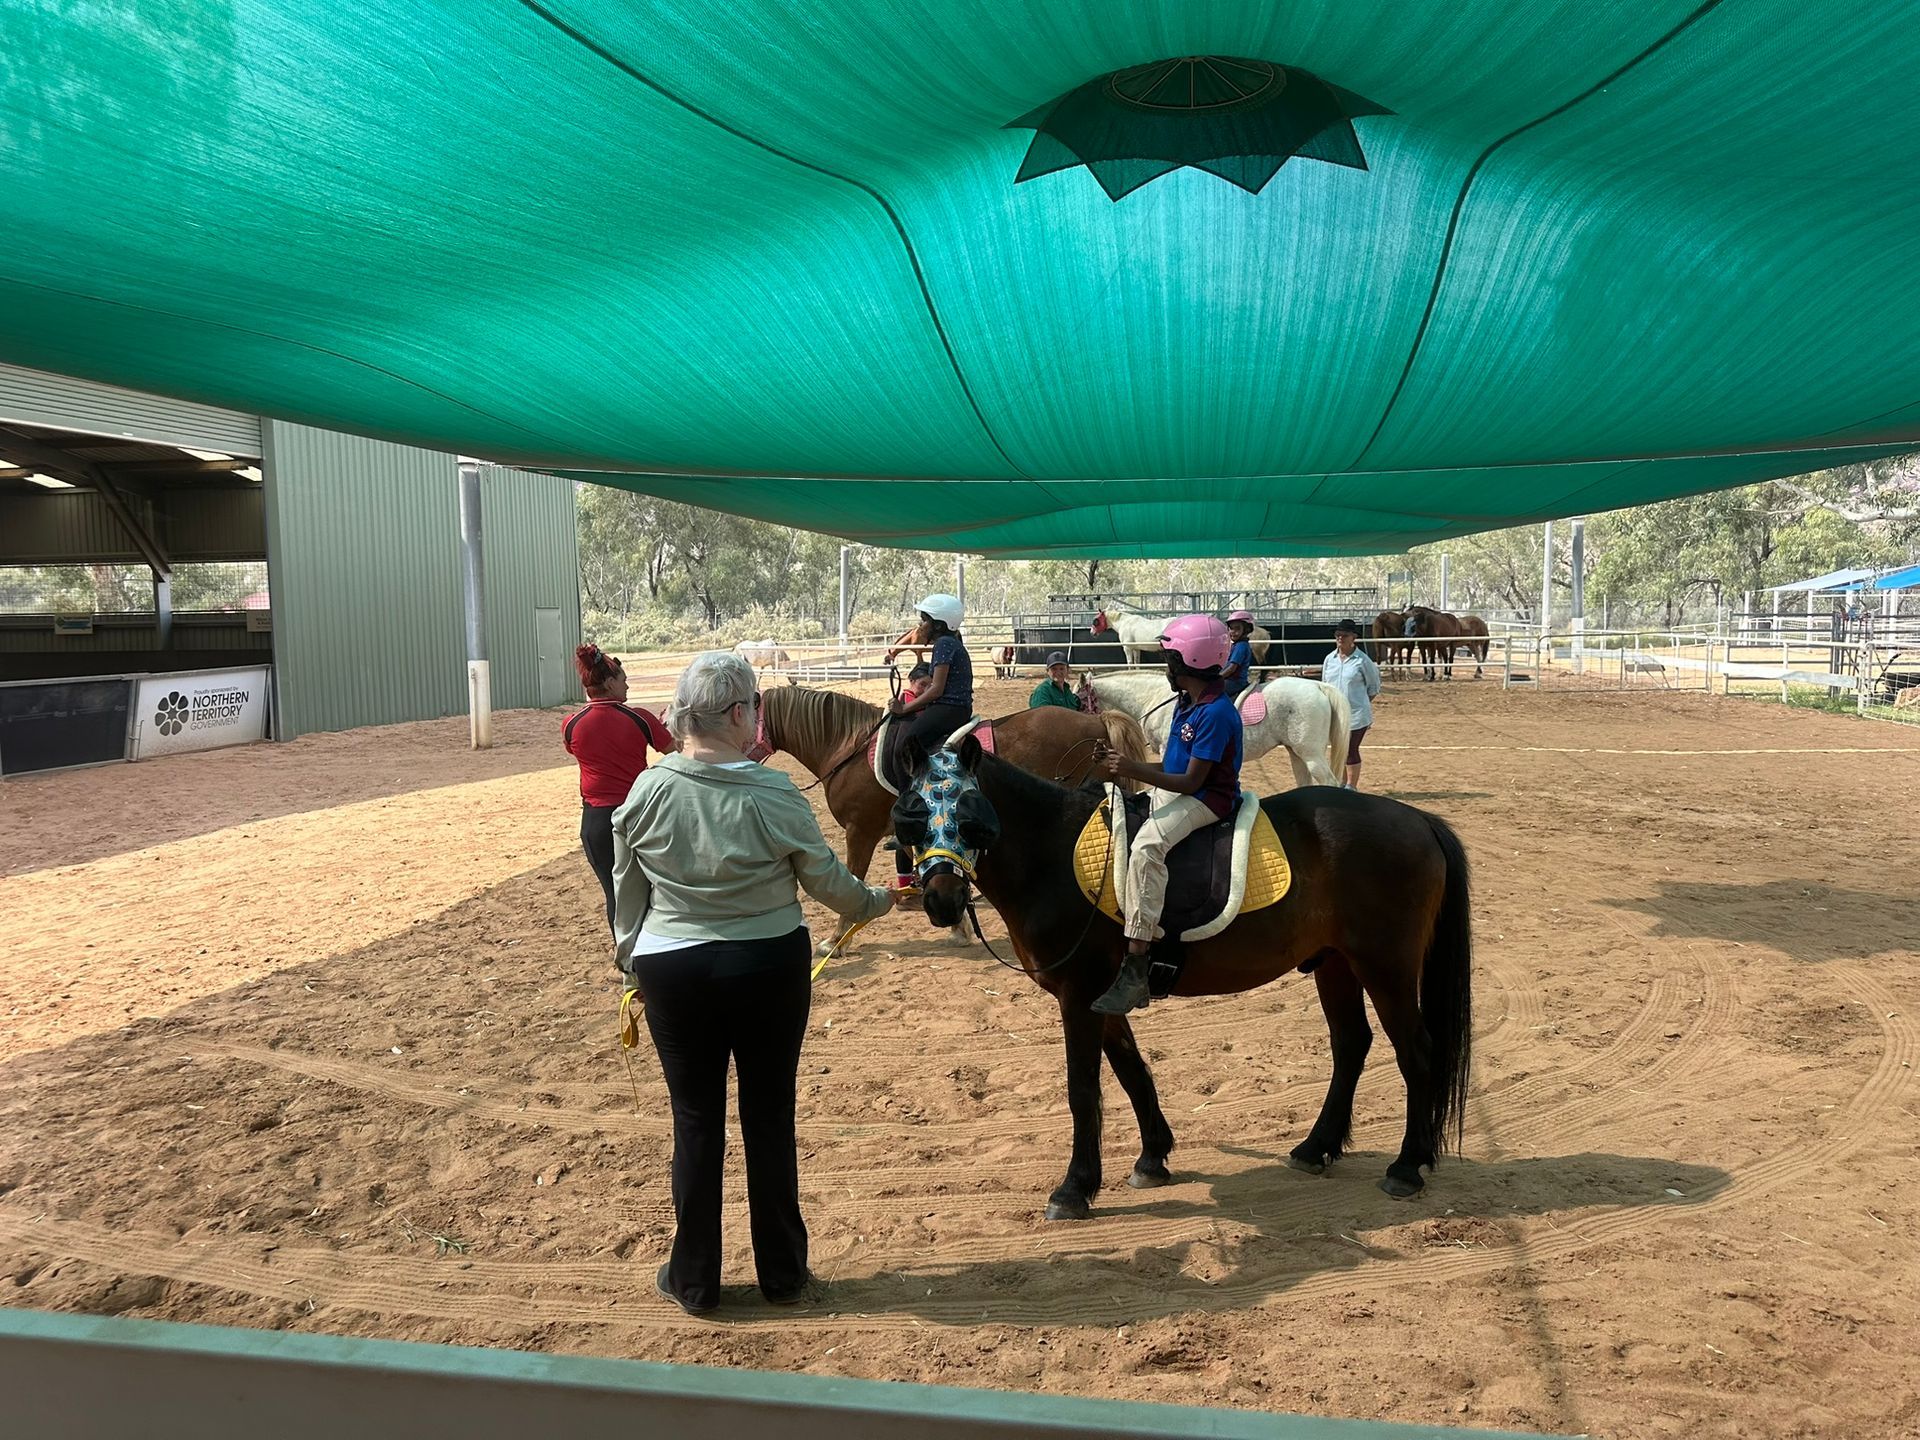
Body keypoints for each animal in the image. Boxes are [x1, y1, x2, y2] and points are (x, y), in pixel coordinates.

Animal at [898, 733, 1473, 1215]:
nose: (942, 900)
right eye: (911, 813)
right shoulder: (1104, 997)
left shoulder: (1078, 995)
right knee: (1351, 1044)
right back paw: (1317, 1147)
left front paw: (1075, 1187)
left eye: (971, 813)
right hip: (1336, 964)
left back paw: (1407, 1165)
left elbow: (1083, 1089)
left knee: (1416, 1052)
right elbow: (1131, 1070)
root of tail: (1420, 820)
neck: (1052, 853)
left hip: (1385, 967)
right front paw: (1153, 1157)